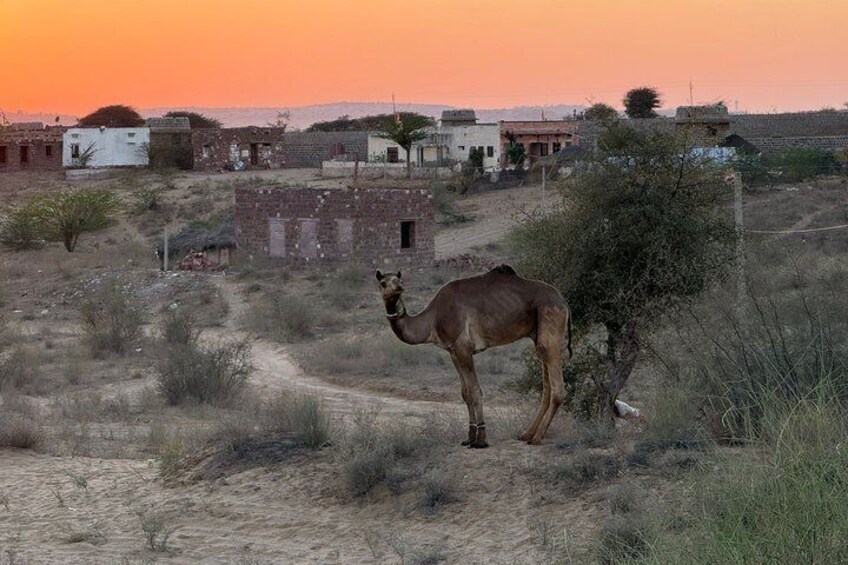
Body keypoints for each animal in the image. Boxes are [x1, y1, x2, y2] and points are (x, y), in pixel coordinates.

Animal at [376, 265, 572, 447]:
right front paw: (469, 437)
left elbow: (475, 391)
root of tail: (563, 301)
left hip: (550, 321)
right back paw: (527, 435)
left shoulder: (464, 347)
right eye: (383, 282)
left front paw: (481, 440)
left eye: (399, 280)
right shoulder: (453, 352)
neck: (432, 319)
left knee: (557, 388)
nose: (399, 287)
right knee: (546, 385)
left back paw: (537, 438)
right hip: (538, 335)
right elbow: (465, 393)